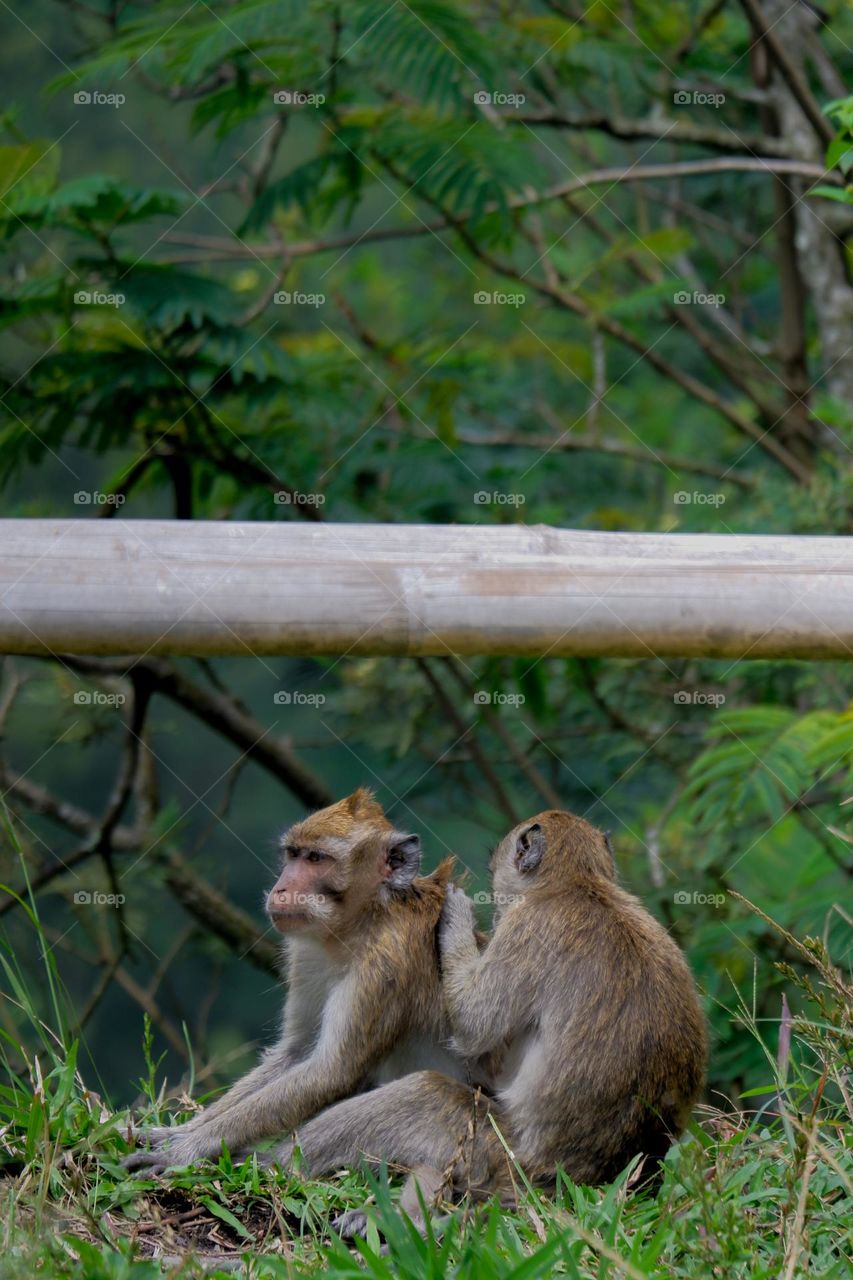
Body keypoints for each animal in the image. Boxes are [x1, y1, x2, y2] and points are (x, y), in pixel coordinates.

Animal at [124, 787, 479, 1173]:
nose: (281, 890)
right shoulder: (306, 955)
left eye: (317, 858)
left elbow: (330, 1071)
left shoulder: (385, 961)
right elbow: (297, 1051)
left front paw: (185, 1149)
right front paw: (182, 1131)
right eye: (293, 855)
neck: (363, 921)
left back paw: (268, 1161)